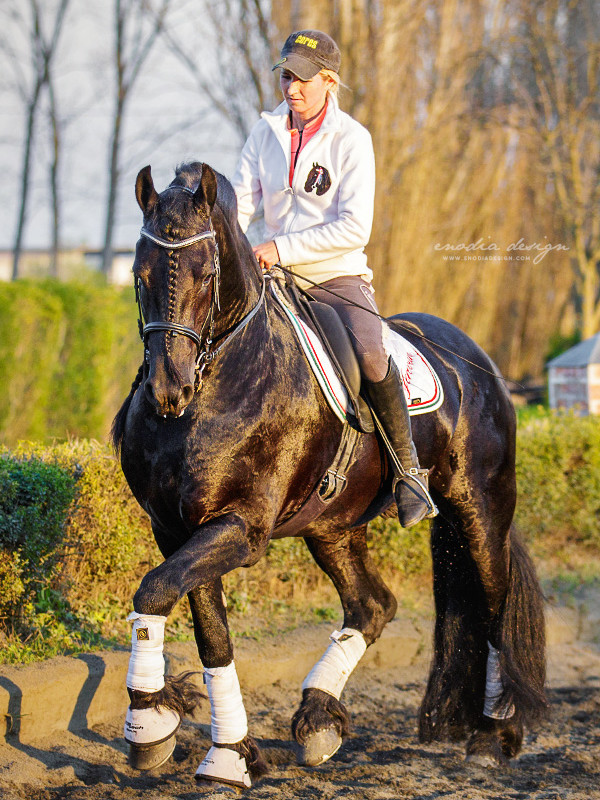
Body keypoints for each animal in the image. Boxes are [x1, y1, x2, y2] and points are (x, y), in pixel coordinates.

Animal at [113, 161, 548, 788]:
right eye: (138, 271)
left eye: (207, 272)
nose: (169, 390)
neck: (218, 382)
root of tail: (480, 362)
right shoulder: (176, 528)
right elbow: (208, 632)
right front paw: (227, 753)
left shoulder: (240, 528)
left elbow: (155, 589)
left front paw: (150, 721)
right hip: (334, 527)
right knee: (372, 605)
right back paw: (319, 717)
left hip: (480, 509)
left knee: (493, 605)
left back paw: (493, 736)